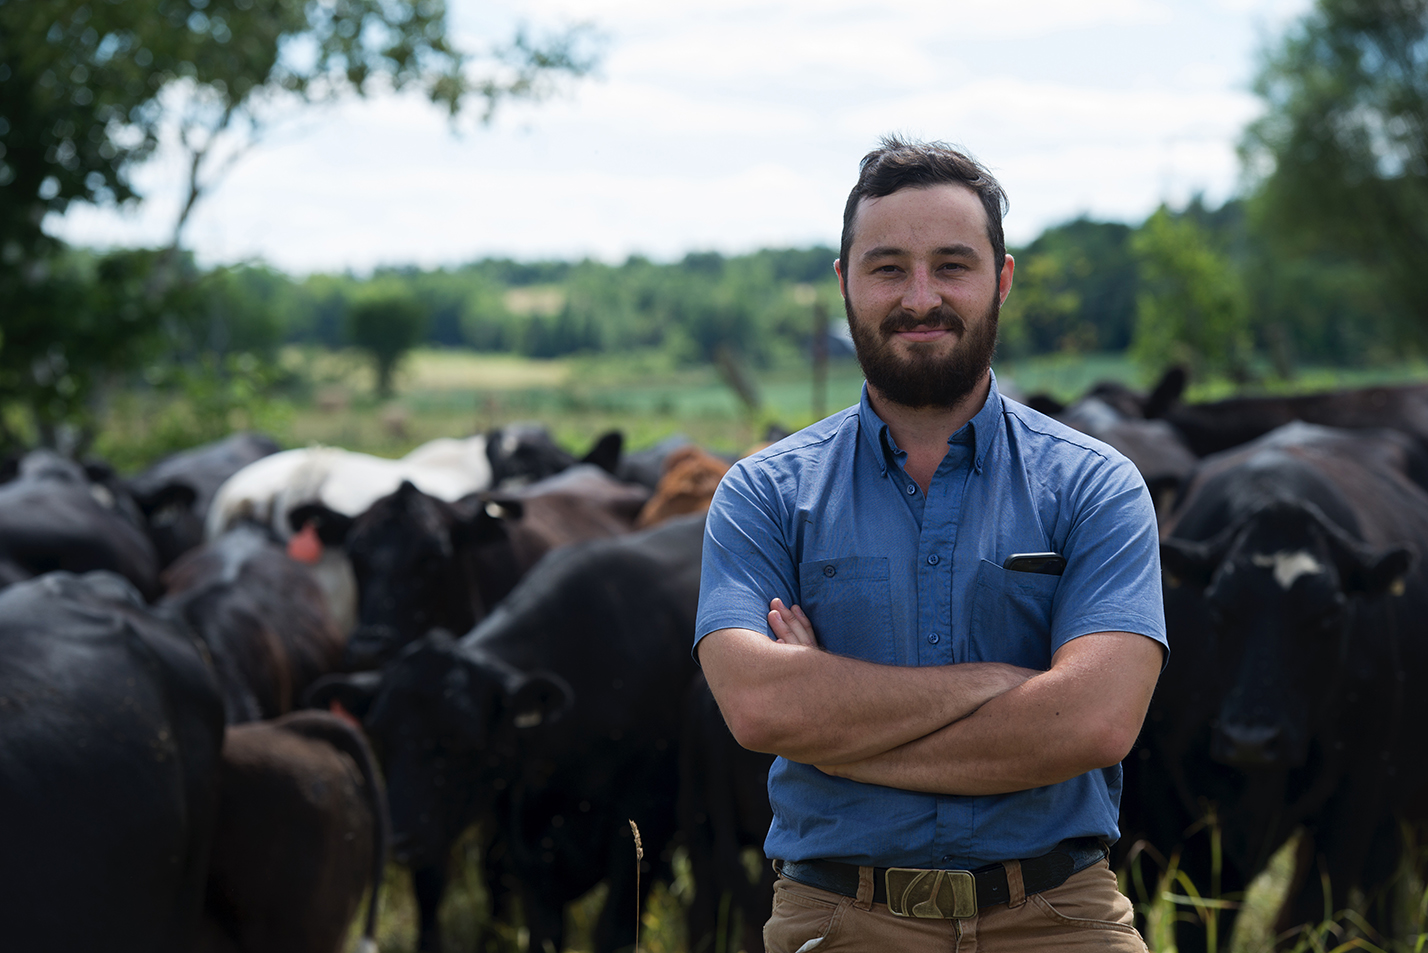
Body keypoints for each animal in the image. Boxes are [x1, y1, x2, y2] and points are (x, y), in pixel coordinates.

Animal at [1125, 425, 1428, 953]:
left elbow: (1310, 917)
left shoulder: (1357, 796)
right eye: (1218, 607)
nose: (1252, 740)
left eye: (1329, 615)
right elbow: (1202, 920)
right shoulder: (1176, 802)